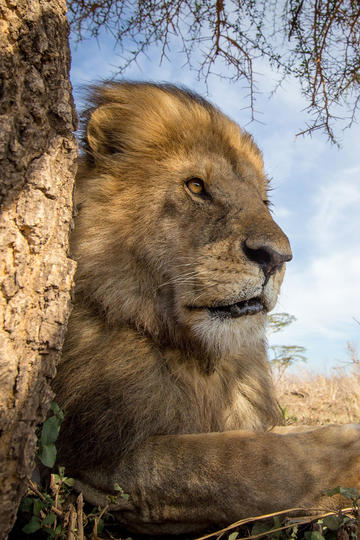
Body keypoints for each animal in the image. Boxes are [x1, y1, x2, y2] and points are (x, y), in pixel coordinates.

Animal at [52, 82, 360, 532]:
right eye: (196, 187)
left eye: (263, 202)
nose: (277, 257)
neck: (199, 359)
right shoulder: (92, 455)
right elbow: (255, 460)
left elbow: (276, 436)